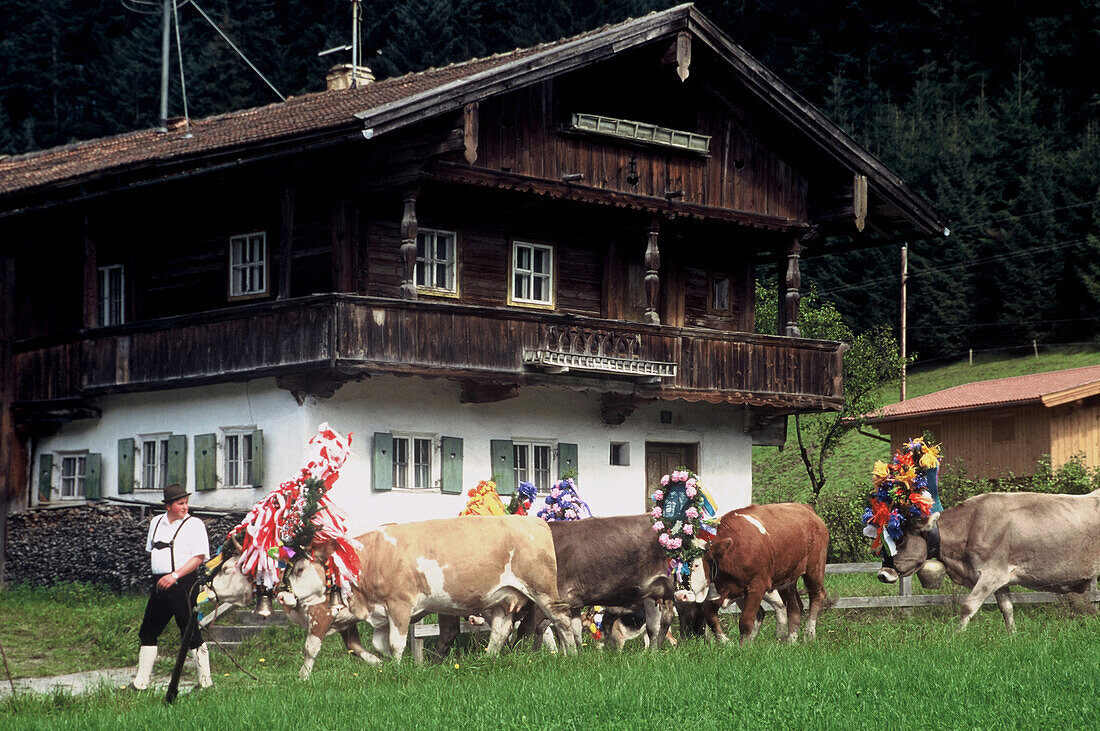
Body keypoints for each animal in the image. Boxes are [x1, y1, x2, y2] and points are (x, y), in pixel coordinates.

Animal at [677, 505, 827, 641]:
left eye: (696, 565)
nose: (681, 595)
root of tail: (807, 509)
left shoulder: (757, 587)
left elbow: (746, 621)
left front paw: (743, 647)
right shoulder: (720, 591)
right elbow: (710, 617)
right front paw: (726, 642)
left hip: (814, 569)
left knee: (816, 597)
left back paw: (809, 634)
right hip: (788, 580)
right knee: (794, 608)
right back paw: (791, 640)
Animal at [888, 490, 1100, 633]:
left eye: (901, 539)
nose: (884, 573)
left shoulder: (991, 574)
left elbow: (968, 606)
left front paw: (956, 637)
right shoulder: (1001, 579)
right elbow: (1007, 609)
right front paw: (1012, 636)